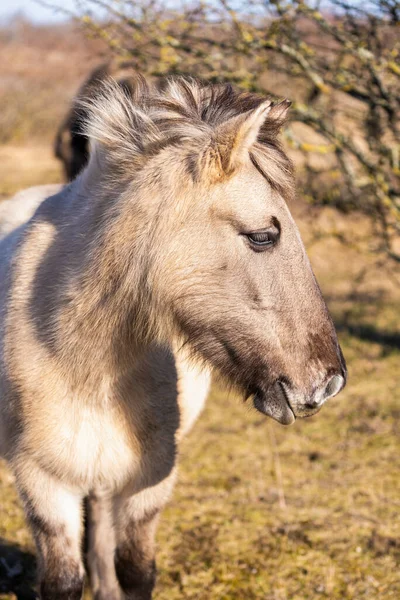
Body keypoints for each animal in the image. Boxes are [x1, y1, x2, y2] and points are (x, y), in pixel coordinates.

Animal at [0, 76, 346, 600]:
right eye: (263, 236)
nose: (329, 382)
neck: (82, 361)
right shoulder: (43, 485)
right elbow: (63, 579)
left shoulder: (149, 480)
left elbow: (135, 570)